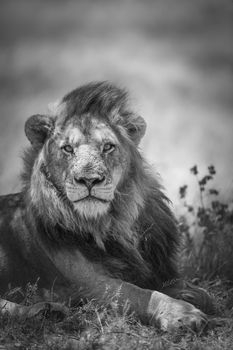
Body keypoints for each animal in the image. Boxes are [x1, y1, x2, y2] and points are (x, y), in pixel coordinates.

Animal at [0, 82, 214, 330]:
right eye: (67, 149)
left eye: (108, 147)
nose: (89, 180)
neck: (115, 222)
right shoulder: (89, 283)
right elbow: (141, 294)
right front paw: (181, 313)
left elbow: (200, 292)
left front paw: (190, 294)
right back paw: (47, 311)